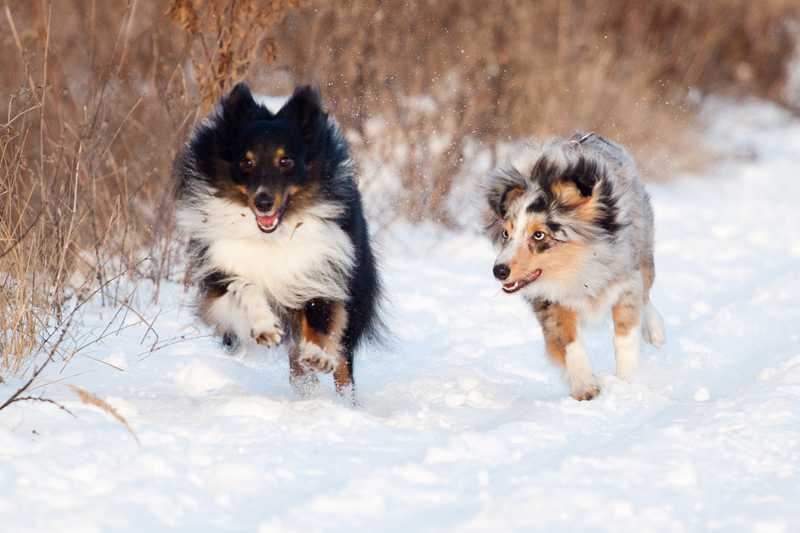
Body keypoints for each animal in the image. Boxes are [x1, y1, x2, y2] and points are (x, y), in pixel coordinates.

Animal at [177, 83, 382, 400]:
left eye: (285, 161)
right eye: (245, 162)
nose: (263, 202)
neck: (273, 236)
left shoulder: (320, 273)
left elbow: (322, 321)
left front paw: (317, 354)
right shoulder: (219, 276)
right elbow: (244, 287)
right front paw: (264, 326)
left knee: (343, 370)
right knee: (298, 371)